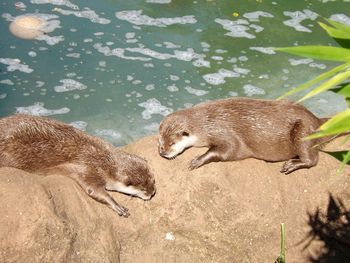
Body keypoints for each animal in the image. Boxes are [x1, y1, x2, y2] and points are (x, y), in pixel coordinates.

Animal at [0, 114, 156, 218]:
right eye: (143, 189)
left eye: (153, 181)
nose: (152, 193)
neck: (102, 158)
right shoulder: (88, 168)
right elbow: (94, 190)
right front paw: (117, 206)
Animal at [159, 98, 328, 174]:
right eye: (160, 142)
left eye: (172, 143)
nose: (163, 152)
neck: (205, 123)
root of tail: (316, 119)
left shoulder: (224, 132)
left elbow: (229, 149)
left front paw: (197, 160)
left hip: (303, 130)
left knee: (312, 159)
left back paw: (291, 164)